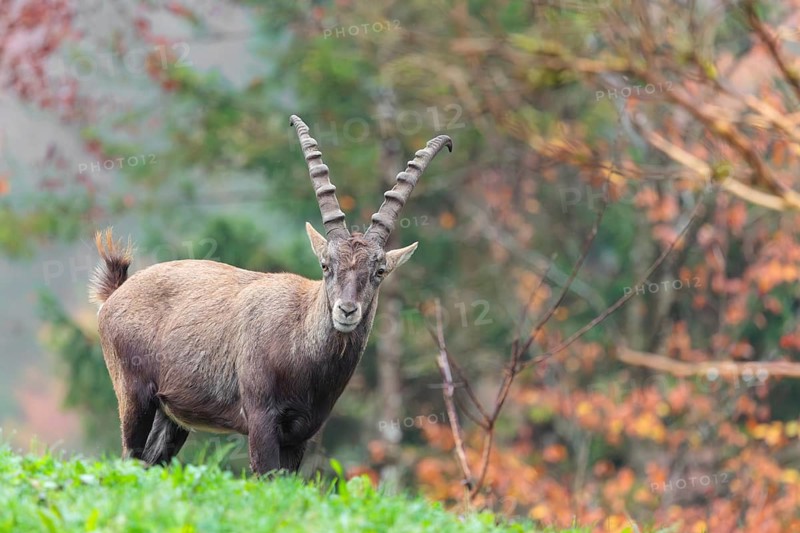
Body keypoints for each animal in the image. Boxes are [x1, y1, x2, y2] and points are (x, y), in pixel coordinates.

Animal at [89, 115, 452, 474]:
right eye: (325, 265)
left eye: (379, 271)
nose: (346, 310)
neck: (301, 339)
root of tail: (114, 294)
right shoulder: (261, 418)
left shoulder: (301, 433)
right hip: (134, 393)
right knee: (128, 457)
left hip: (171, 415)